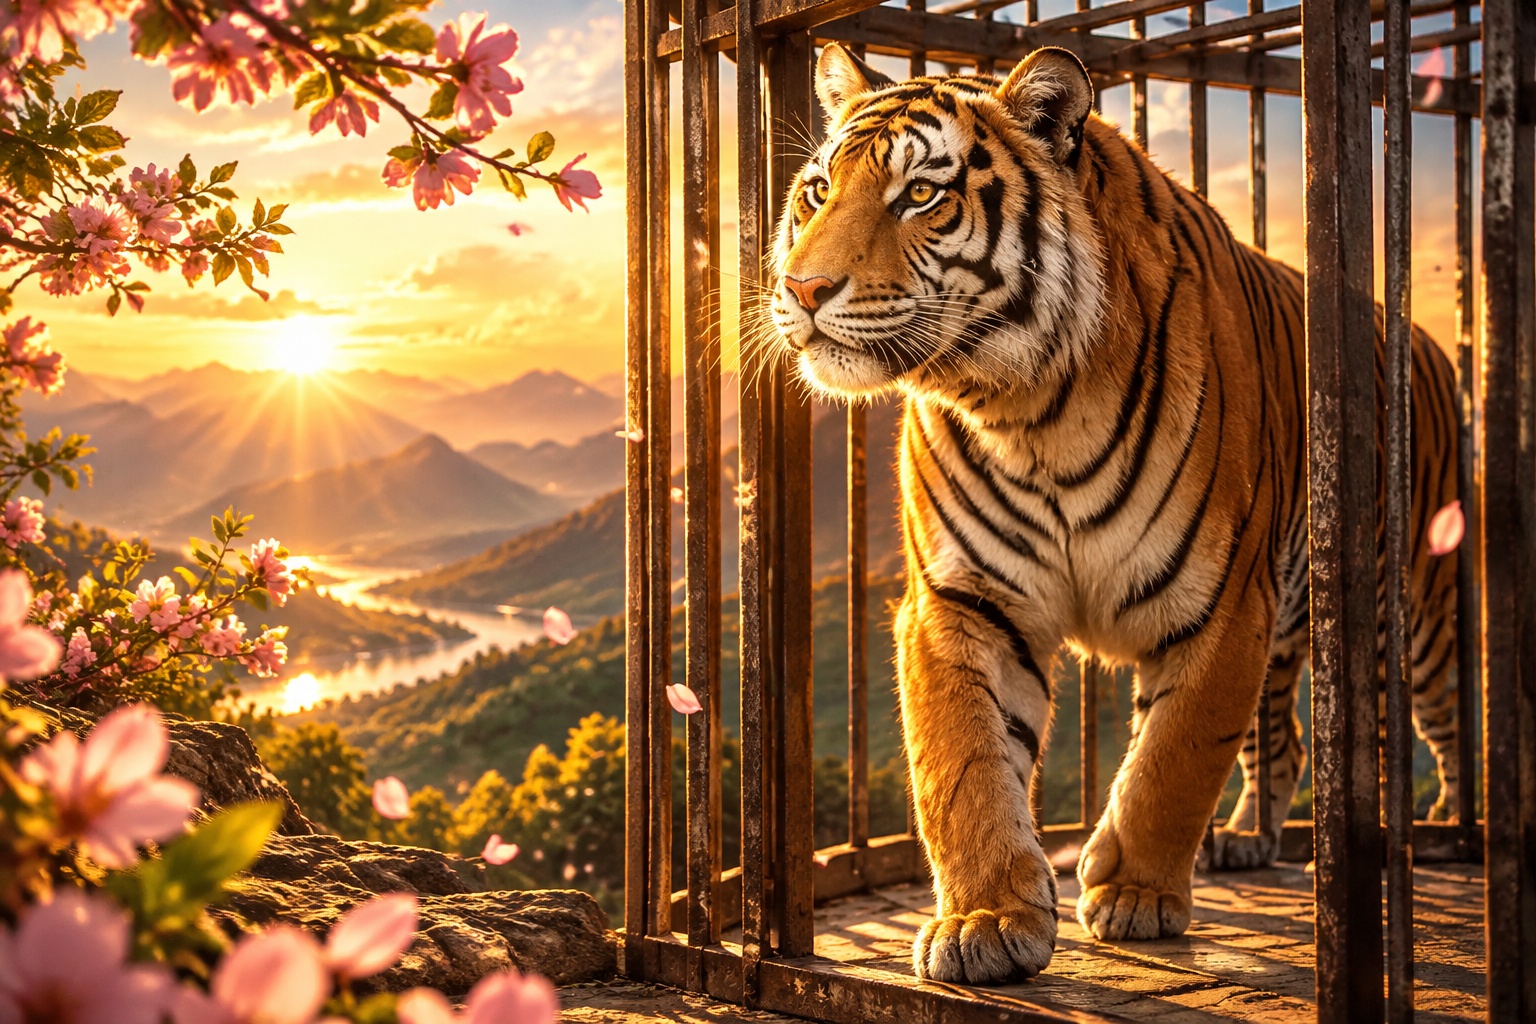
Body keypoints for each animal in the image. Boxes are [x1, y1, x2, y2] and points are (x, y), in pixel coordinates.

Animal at [766, 43, 1463, 985]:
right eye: (816, 189)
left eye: (920, 194)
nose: (800, 286)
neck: (1027, 409)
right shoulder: (963, 599)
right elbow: (964, 765)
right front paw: (986, 919)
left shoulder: (1221, 605)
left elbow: (1173, 757)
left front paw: (1134, 893)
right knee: (1282, 738)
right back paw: (1247, 840)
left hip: (1420, 616)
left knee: (1448, 729)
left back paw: (1447, 837)